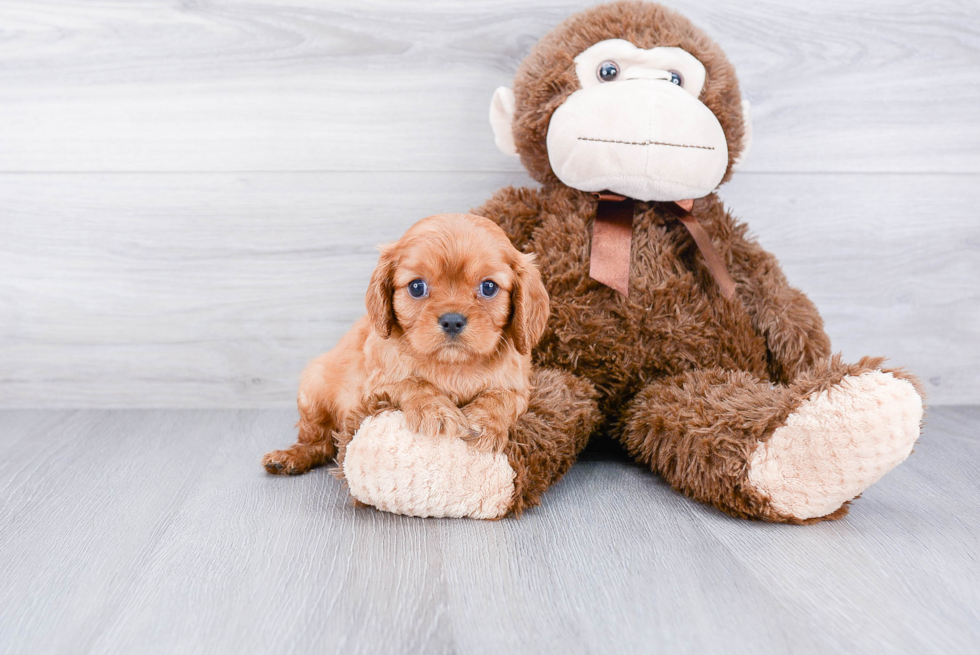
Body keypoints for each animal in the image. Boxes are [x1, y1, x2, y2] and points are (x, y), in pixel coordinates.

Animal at [260, 213, 552, 474]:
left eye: (489, 287)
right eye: (416, 287)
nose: (452, 320)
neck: (453, 364)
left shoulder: (518, 387)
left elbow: (500, 398)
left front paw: (484, 424)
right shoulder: (376, 386)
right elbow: (412, 382)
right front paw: (436, 412)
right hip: (312, 389)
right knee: (318, 441)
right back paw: (290, 457)